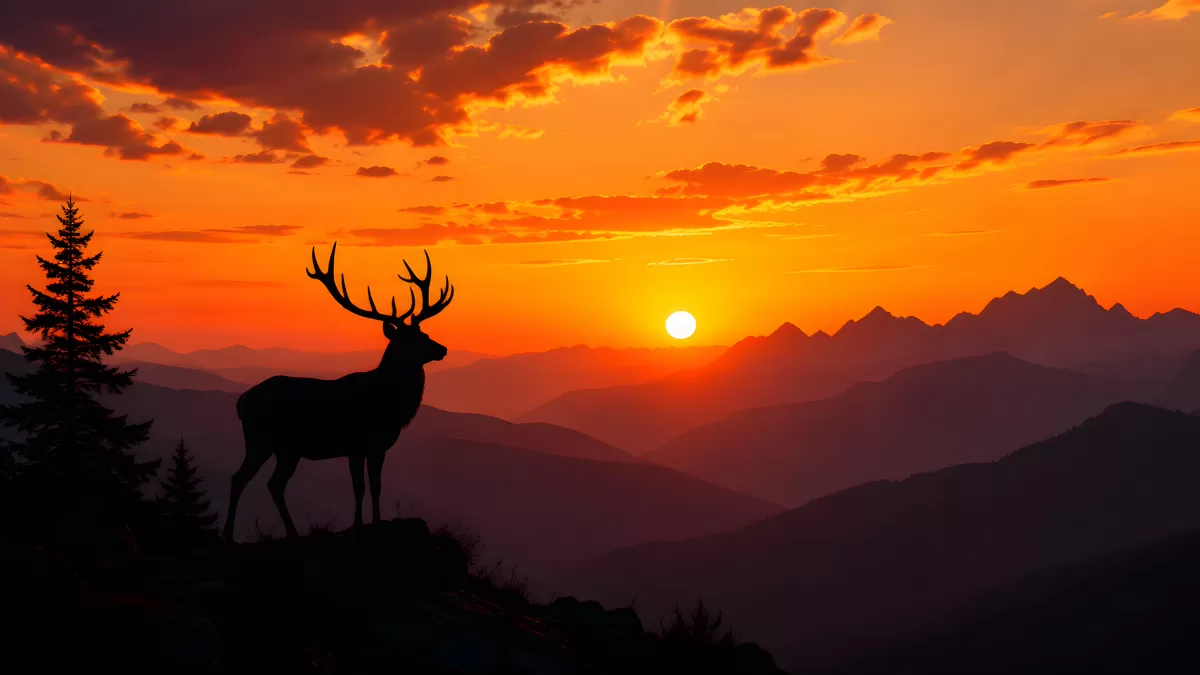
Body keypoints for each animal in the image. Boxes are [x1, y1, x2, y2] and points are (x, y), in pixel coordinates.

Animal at [222, 243, 454, 541]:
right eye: (412, 339)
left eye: (424, 334)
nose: (442, 349)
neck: (390, 405)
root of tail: (242, 401)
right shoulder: (356, 444)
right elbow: (359, 487)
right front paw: (358, 526)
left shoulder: (378, 447)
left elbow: (376, 486)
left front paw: (375, 523)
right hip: (260, 439)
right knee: (241, 477)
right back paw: (230, 533)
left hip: (286, 449)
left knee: (272, 483)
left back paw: (292, 532)